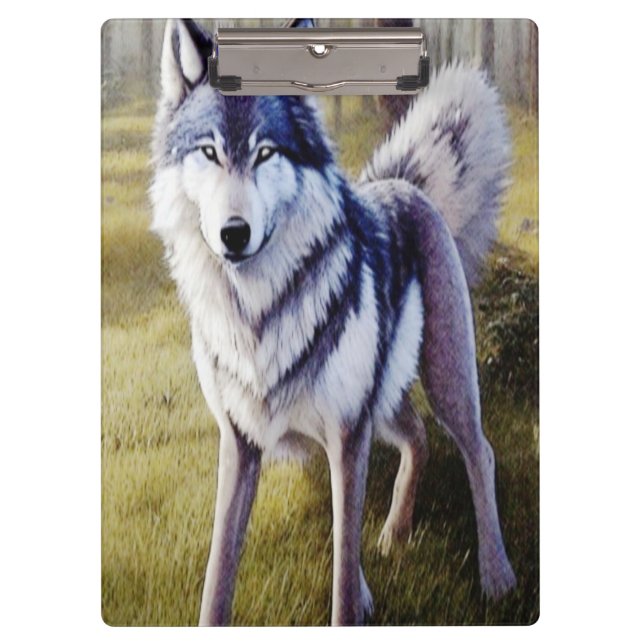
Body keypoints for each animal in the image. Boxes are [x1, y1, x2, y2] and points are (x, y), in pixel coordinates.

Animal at [150, 18, 517, 626]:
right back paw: (393, 536)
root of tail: (400, 183)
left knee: (478, 452)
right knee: (418, 438)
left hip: (443, 386)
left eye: (266, 153)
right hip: (382, 404)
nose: (233, 234)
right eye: (209, 152)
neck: (259, 315)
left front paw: (354, 603)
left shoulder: (346, 434)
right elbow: (218, 573)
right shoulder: (242, 444)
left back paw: (497, 575)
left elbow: (342, 576)